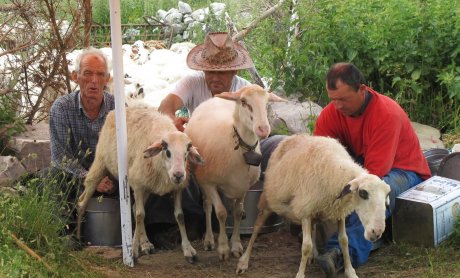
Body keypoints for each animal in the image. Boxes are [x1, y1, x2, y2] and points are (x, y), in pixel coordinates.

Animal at [77, 105, 203, 262]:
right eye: (166, 150)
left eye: (187, 151)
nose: (178, 175)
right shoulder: (137, 185)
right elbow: (139, 215)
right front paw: (133, 251)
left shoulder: (177, 188)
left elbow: (179, 216)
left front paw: (188, 249)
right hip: (100, 162)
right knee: (82, 202)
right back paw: (78, 239)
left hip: (146, 186)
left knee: (133, 208)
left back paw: (145, 243)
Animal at [184, 84, 286, 260]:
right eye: (244, 102)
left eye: (267, 103)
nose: (263, 129)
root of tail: (214, 99)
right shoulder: (209, 183)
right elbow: (221, 213)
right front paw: (223, 248)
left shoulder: (244, 187)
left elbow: (238, 213)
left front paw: (236, 245)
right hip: (202, 179)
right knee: (207, 205)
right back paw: (209, 240)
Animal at [237, 135, 392, 278]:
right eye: (363, 193)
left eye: (386, 199)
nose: (377, 232)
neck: (335, 171)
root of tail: (289, 138)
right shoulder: (305, 211)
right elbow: (306, 246)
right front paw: (300, 274)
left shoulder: (338, 212)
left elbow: (344, 240)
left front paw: (350, 271)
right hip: (270, 200)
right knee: (257, 227)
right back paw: (243, 261)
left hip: (315, 210)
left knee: (314, 228)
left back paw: (313, 255)